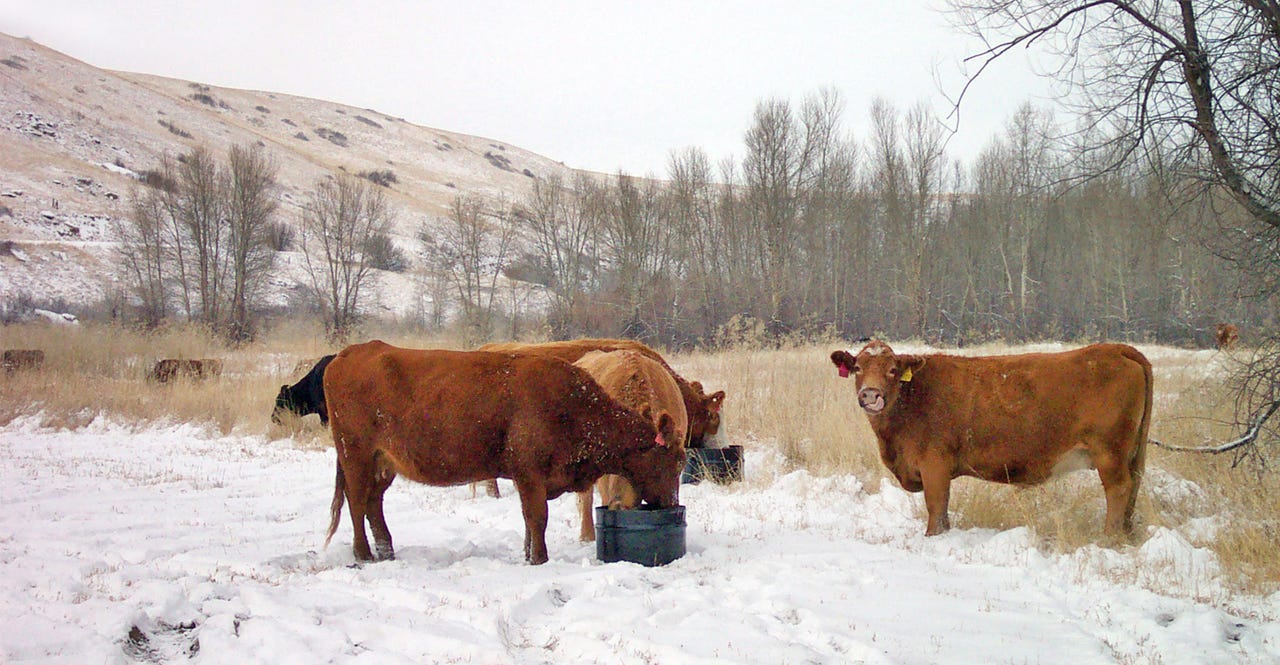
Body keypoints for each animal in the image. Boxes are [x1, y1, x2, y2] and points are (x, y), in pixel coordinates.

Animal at [830, 340, 1152, 538]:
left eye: (893, 370)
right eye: (857, 368)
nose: (871, 394)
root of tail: (1114, 349)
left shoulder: (935, 464)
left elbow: (936, 506)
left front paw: (933, 537)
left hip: (1109, 452)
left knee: (1119, 489)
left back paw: (1109, 537)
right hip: (1130, 454)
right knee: (1134, 484)